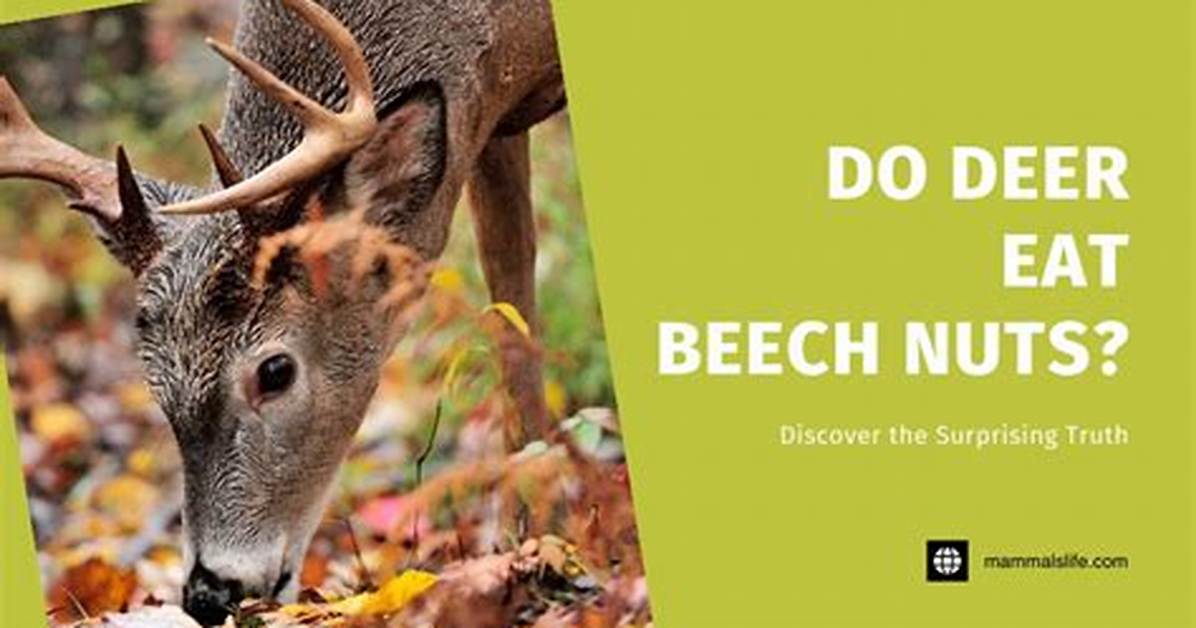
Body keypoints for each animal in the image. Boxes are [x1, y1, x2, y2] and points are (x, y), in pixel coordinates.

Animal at [0, 0, 565, 623]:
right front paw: (533, 538)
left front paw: (539, 544)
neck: (497, 30)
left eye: (275, 371)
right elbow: (511, 303)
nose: (208, 593)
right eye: (154, 383)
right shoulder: (492, 124)